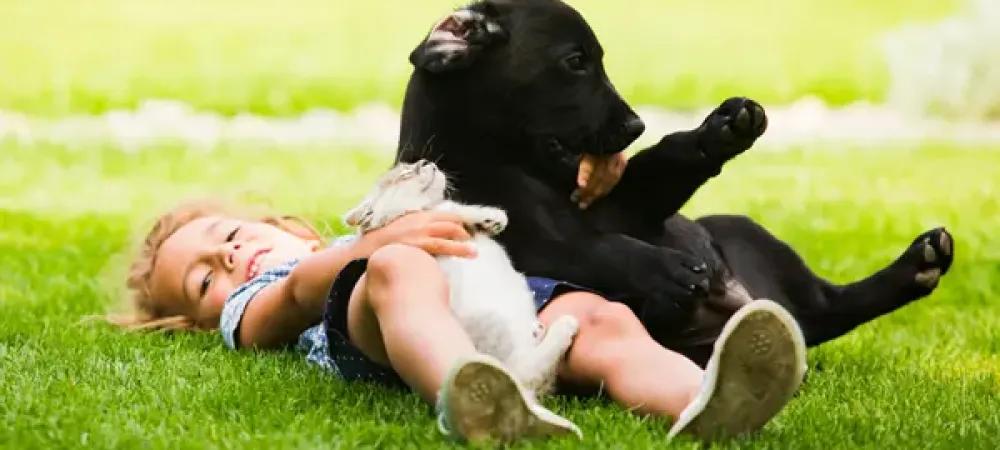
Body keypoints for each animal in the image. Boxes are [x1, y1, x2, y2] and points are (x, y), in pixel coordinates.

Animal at [344, 159, 580, 398]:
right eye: (405, 174)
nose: (425, 161)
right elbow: (453, 210)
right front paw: (488, 216)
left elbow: (454, 208)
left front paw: (492, 220)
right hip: (494, 327)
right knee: (524, 372)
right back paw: (563, 327)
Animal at [390, 0, 952, 366]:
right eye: (576, 62)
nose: (635, 125)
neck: (512, 163)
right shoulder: (533, 244)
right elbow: (597, 249)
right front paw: (666, 273)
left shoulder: (629, 207)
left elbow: (660, 166)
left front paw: (721, 131)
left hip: (743, 230)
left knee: (834, 304)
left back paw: (918, 263)